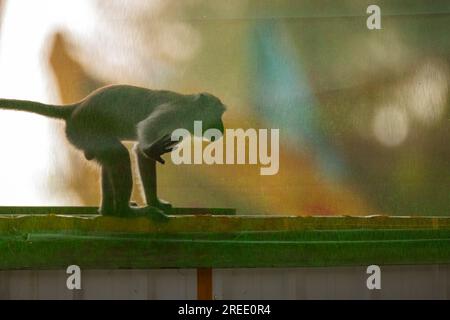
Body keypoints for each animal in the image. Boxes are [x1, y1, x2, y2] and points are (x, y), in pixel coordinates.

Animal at [0, 85, 225, 219]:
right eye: (218, 116)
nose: (221, 129)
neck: (188, 107)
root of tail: (75, 109)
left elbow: (141, 152)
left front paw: (155, 202)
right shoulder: (174, 113)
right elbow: (144, 145)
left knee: (111, 158)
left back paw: (109, 211)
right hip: (85, 130)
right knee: (119, 155)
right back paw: (125, 212)